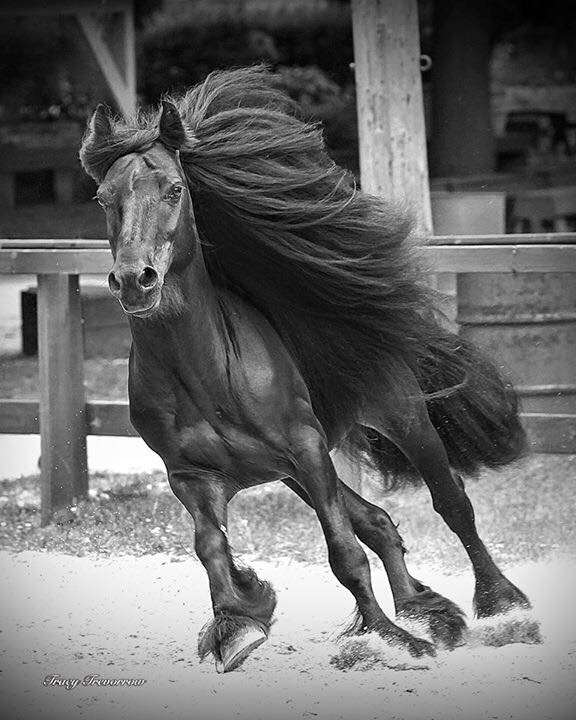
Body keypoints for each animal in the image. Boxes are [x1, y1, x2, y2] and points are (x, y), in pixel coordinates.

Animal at [80, 66, 531, 673]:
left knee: (452, 502)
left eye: (174, 189)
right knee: (378, 521)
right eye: (104, 197)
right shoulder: (192, 477)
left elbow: (343, 552)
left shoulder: (307, 447)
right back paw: (427, 612)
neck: (204, 377)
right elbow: (211, 551)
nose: (135, 281)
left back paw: (500, 606)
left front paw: (386, 638)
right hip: (291, 472)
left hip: (398, 416)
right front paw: (241, 619)